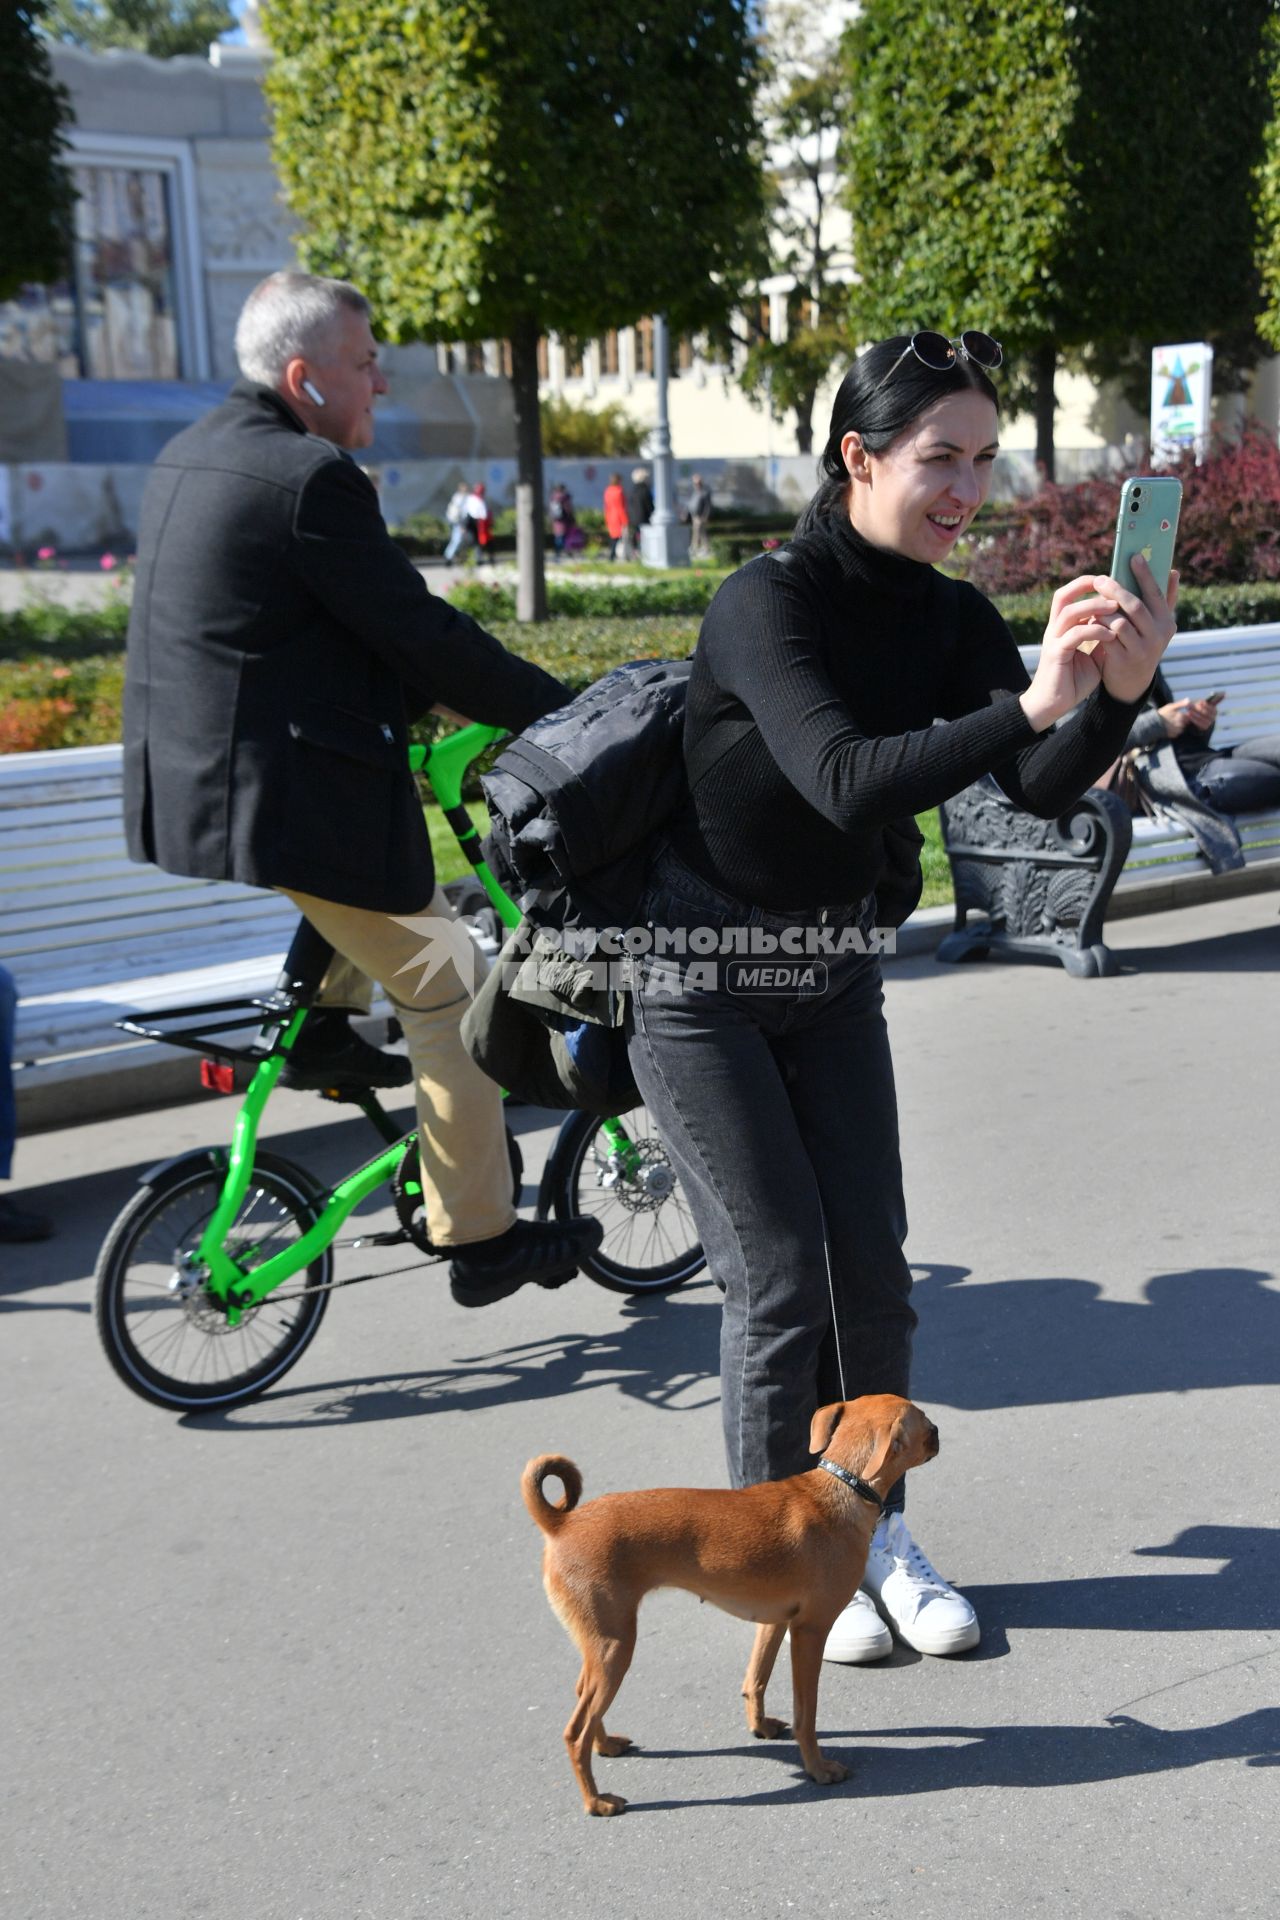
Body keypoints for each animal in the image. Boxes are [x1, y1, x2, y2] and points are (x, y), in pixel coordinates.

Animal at [521, 1397, 940, 1812]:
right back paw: (596, 1800)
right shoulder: (810, 1632)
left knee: (583, 1698)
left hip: (601, 1645)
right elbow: (806, 1714)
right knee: (575, 1733)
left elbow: (756, 1678)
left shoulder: (774, 1622)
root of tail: (562, 1524)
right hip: (615, 1648)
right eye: (926, 1424)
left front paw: (760, 1726)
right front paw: (819, 1768)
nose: (939, 1432)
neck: (842, 1487)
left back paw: (605, 1745)